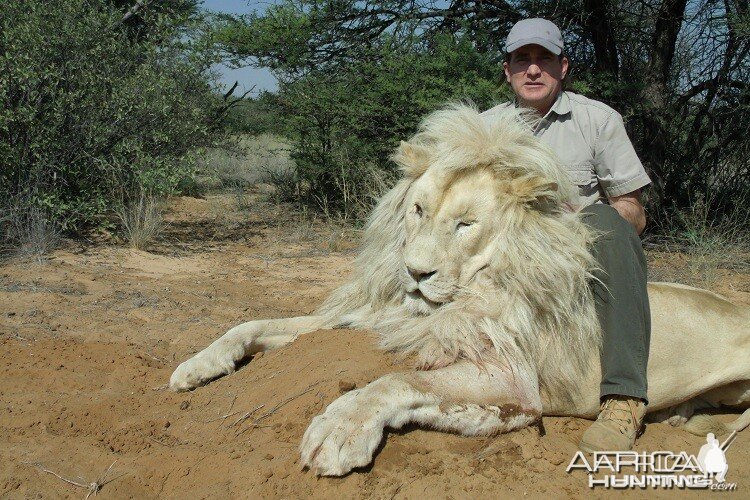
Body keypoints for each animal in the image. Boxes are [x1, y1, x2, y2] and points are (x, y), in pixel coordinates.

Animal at [170, 104, 750, 476]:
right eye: (418, 209)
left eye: (466, 224)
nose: (415, 273)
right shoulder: (375, 318)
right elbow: (253, 323)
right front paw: (196, 366)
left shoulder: (514, 379)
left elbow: (394, 379)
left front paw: (338, 432)